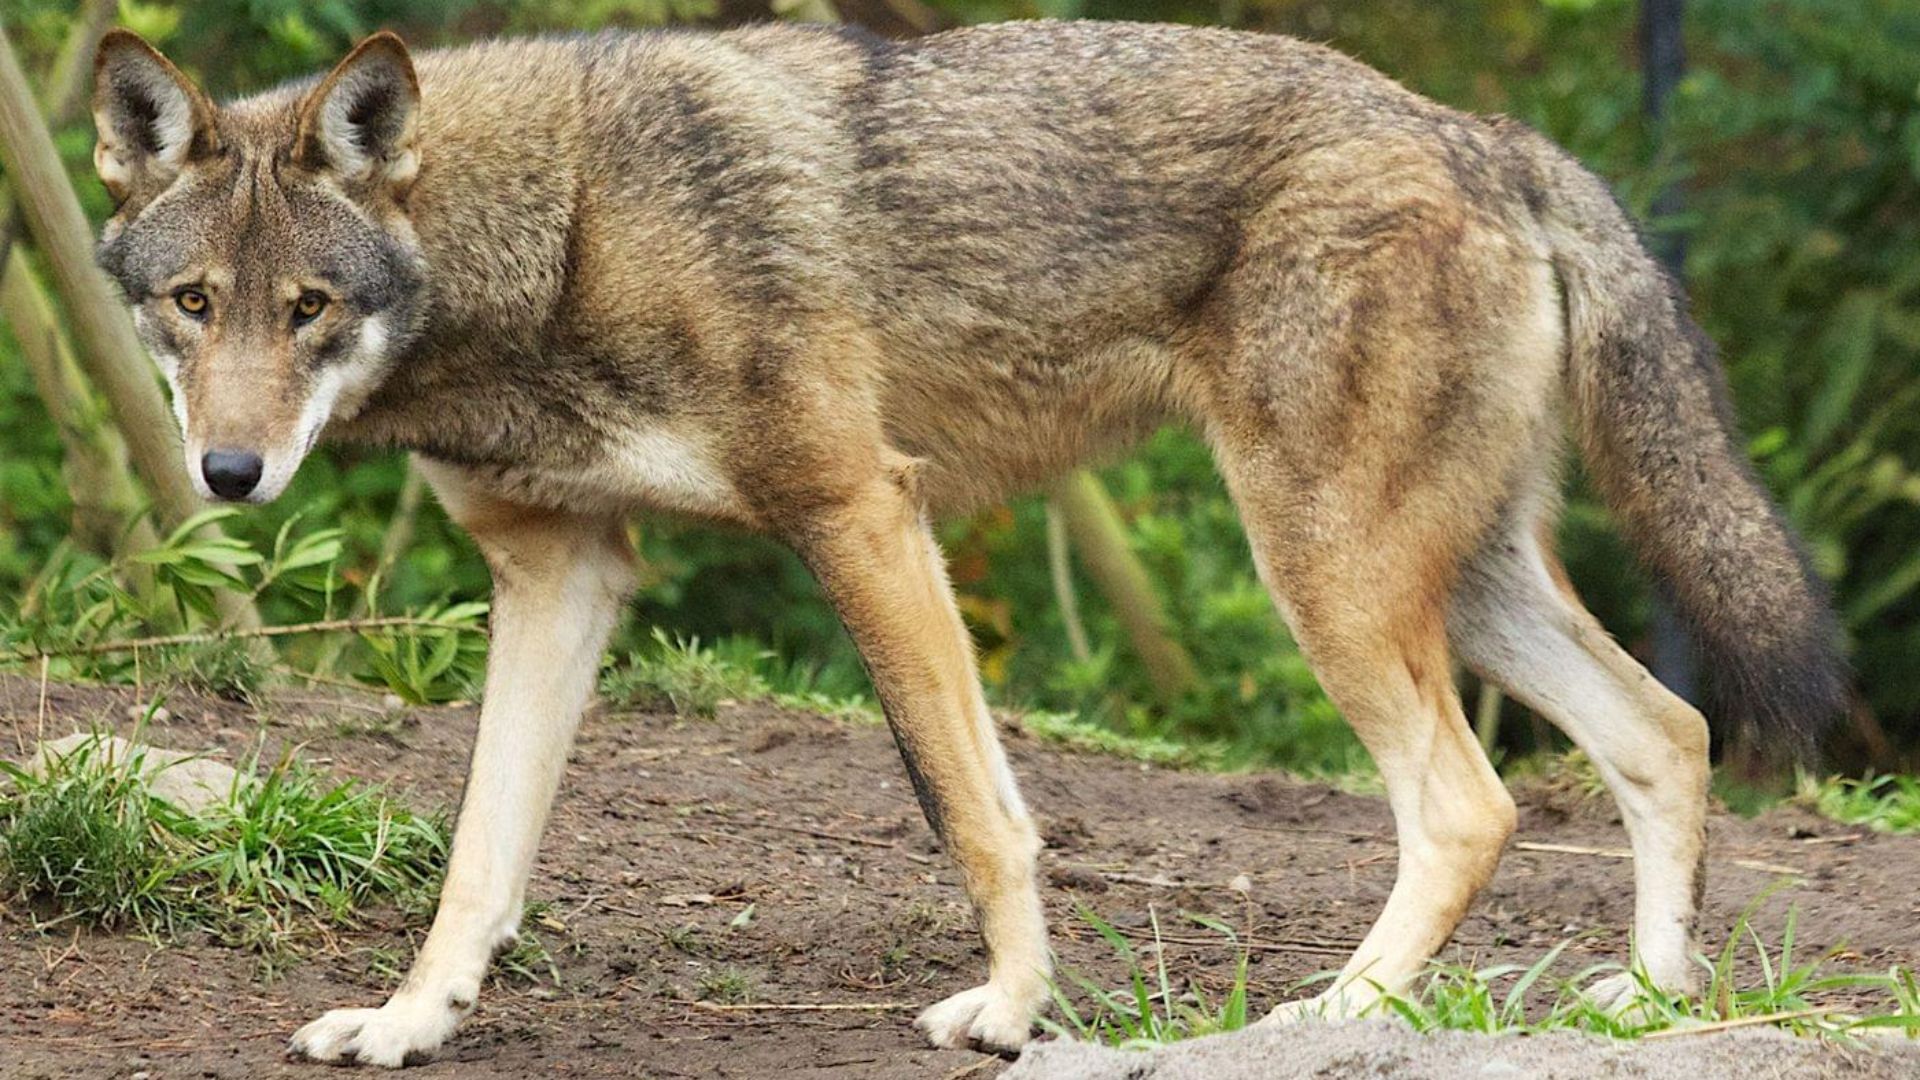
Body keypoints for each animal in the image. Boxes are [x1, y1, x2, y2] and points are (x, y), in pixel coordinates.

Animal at [90, 19, 1845, 1066]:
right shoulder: (559, 573)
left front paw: (1010, 1008)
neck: (566, 230)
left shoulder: (863, 511)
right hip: (1452, 584)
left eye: (308, 309)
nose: (229, 473)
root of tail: (1489, 133)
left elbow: (973, 810)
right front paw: (408, 1024)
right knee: (1669, 733)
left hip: (1330, 577)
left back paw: (1340, 1010)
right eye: (194, 304)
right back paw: (1654, 1001)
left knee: (1473, 804)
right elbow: (478, 854)